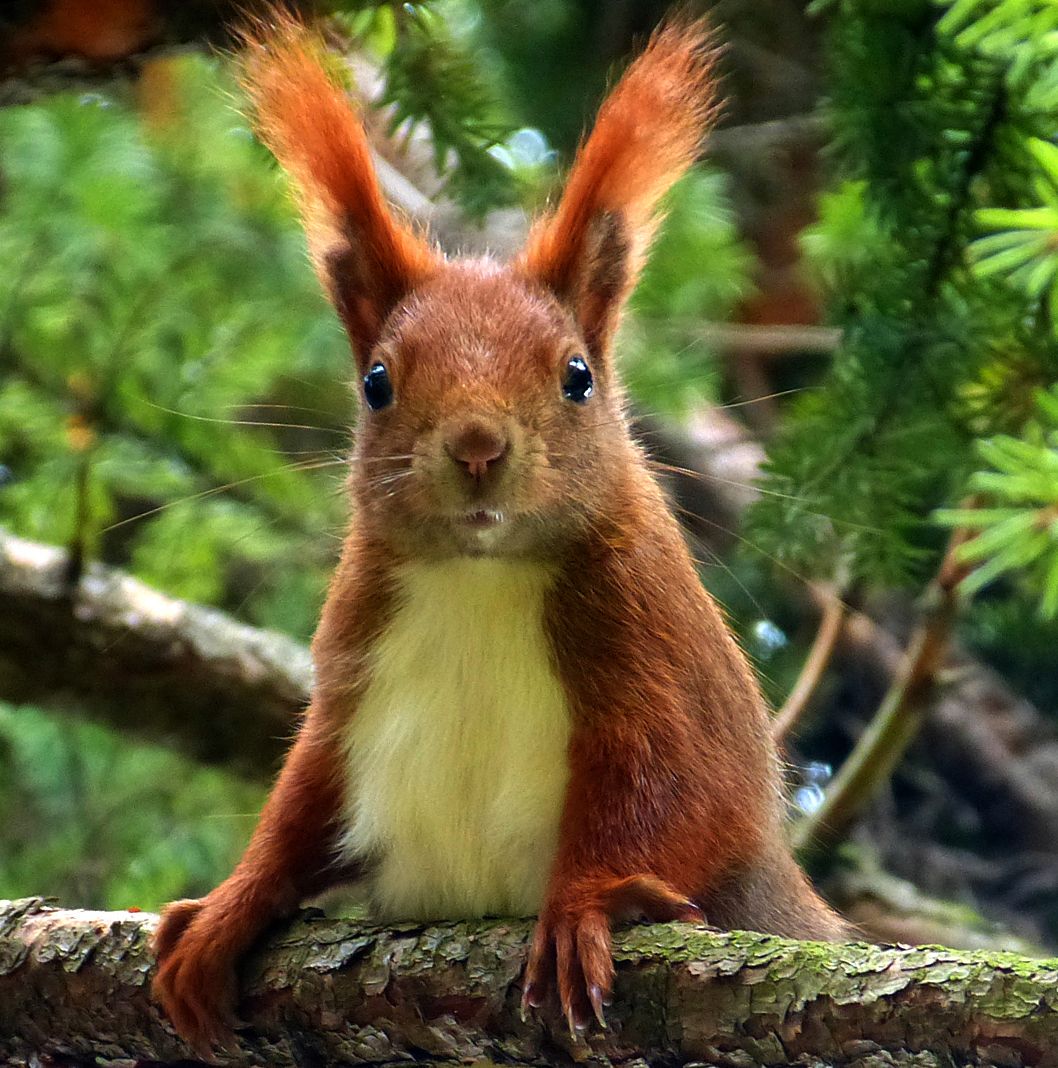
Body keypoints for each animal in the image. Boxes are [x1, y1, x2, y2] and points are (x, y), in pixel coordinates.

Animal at [152, 12, 850, 1053]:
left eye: (577, 376)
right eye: (377, 381)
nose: (478, 446)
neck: (480, 579)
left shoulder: (657, 652)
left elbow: (688, 795)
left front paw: (584, 907)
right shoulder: (351, 667)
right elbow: (302, 804)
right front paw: (228, 907)